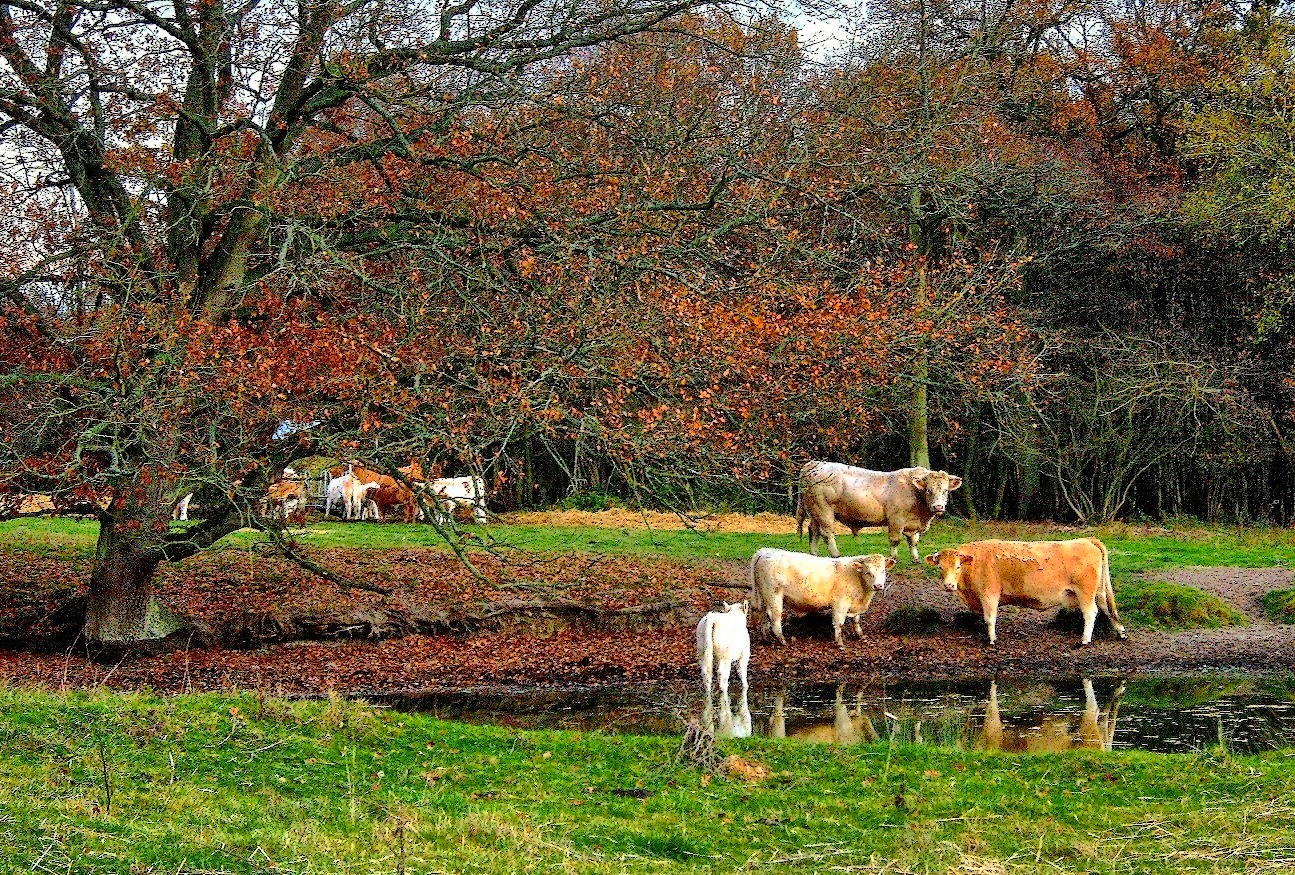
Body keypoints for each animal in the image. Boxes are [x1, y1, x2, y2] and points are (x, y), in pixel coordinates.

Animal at [745, 546, 896, 649]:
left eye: (883, 570)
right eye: (868, 572)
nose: (878, 585)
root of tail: (765, 551)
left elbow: (856, 620)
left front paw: (860, 635)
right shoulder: (840, 604)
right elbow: (839, 623)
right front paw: (840, 643)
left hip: (765, 597)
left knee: (765, 616)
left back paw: (766, 638)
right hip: (774, 596)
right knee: (775, 619)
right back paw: (783, 641)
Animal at [797, 460, 963, 564]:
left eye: (945, 490)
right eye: (929, 490)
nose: (938, 507)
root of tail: (816, 464)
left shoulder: (913, 524)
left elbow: (913, 541)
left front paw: (915, 559)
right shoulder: (896, 520)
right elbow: (895, 540)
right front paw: (894, 558)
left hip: (814, 512)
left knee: (813, 531)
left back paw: (814, 554)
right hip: (823, 510)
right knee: (827, 533)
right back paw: (836, 554)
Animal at [927, 535, 1129, 647]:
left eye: (958, 566)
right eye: (940, 568)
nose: (948, 585)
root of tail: (1086, 540)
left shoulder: (989, 594)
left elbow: (989, 618)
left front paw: (991, 640)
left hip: (1085, 592)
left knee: (1090, 613)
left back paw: (1085, 640)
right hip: (1098, 591)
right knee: (1106, 607)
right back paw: (1121, 633)